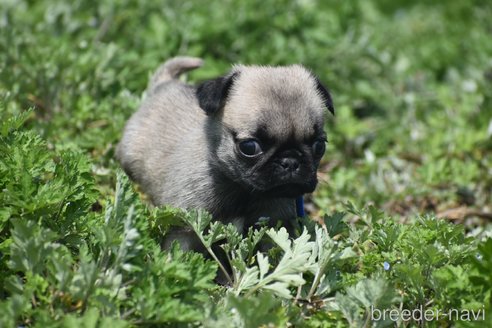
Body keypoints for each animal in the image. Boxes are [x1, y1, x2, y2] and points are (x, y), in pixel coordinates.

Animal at [117, 56, 332, 249]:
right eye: (249, 147)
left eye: (319, 146)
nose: (290, 161)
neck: (243, 191)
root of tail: (164, 84)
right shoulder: (184, 229)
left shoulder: (273, 228)